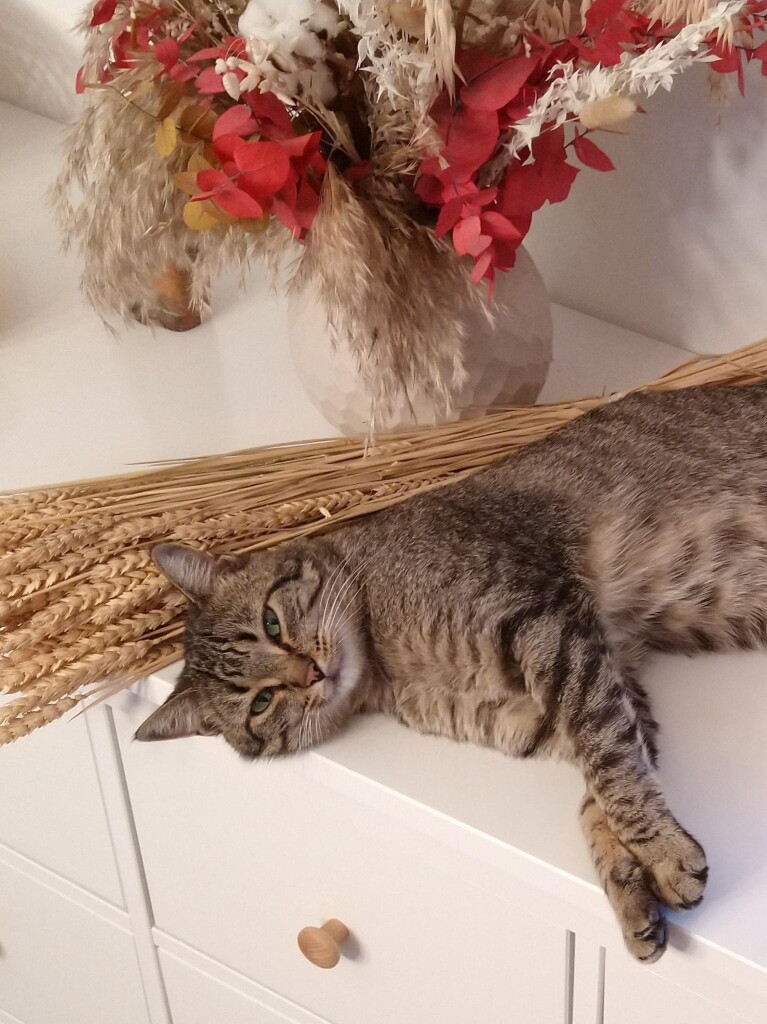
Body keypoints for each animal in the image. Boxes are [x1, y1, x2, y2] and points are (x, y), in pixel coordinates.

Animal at [137, 382, 767, 958]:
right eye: (261, 703)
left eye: (272, 623)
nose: (310, 672)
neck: (388, 662)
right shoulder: (576, 694)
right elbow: (603, 788)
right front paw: (630, 887)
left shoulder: (548, 625)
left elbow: (613, 766)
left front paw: (661, 852)